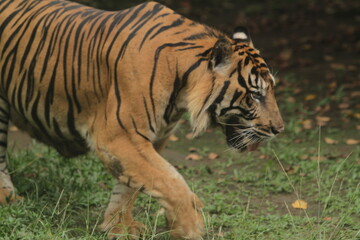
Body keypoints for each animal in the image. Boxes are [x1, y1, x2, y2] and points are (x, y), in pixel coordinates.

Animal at [0, 0, 284, 238]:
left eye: (271, 89)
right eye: (255, 94)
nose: (278, 129)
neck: (182, 86)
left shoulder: (152, 138)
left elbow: (133, 185)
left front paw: (118, 226)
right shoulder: (118, 137)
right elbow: (170, 181)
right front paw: (190, 227)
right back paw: (7, 197)